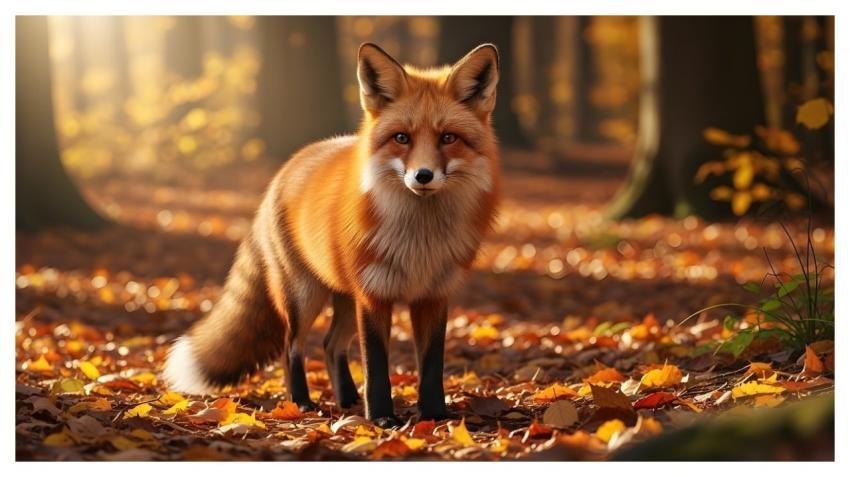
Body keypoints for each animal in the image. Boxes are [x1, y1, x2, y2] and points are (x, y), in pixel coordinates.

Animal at [162, 42, 501, 427]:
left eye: (448, 138)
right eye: (402, 138)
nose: (423, 176)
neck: (419, 240)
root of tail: (290, 165)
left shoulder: (433, 295)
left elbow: (431, 367)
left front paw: (435, 417)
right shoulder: (374, 296)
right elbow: (377, 366)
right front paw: (381, 418)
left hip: (345, 298)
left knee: (330, 344)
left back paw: (347, 400)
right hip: (303, 296)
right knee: (291, 346)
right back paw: (301, 403)